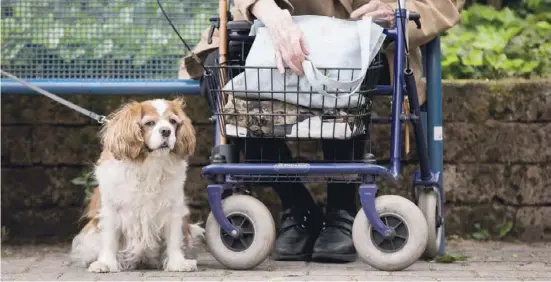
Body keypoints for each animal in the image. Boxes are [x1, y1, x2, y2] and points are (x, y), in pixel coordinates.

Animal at [71, 98, 205, 272]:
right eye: (149, 123)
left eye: (173, 122)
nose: (166, 131)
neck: (150, 163)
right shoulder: (111, 209)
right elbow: (109, 239)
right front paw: (106, 263)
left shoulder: (172, 208)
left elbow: (174, 239)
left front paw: (177, 263)